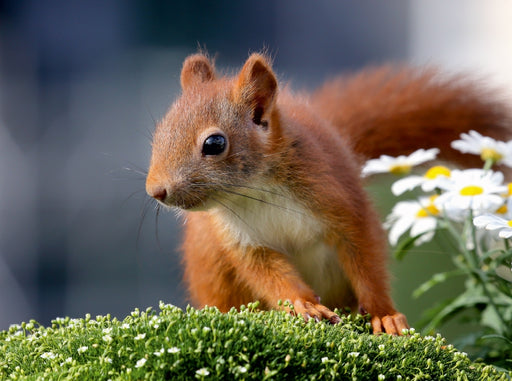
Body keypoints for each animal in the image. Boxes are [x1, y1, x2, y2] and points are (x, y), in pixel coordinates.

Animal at [144, 52, 512, 332]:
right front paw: (303, 305)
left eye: (214, 144)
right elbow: (269, 276)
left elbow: (366, 259)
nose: (156, 191)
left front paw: (384, 314)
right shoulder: (242, 240)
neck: (257, 191)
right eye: (159, 132)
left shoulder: (342, 202)